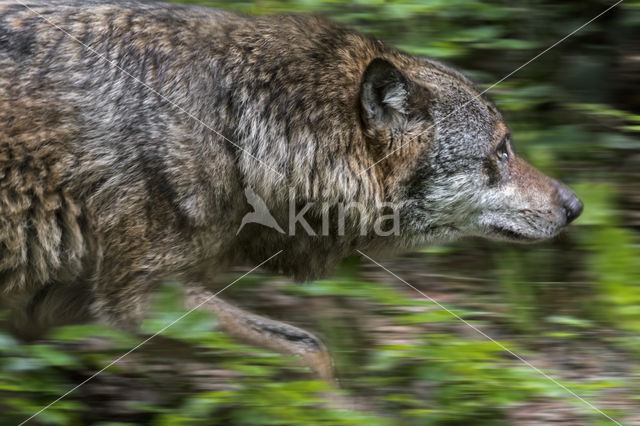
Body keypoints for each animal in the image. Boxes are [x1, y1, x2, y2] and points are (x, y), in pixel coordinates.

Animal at [0, 0, 580, 382]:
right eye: (501, 151)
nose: (575, 205)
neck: (236, 129)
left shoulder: (64, 304)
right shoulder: (137, 299)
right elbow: (310, 348)